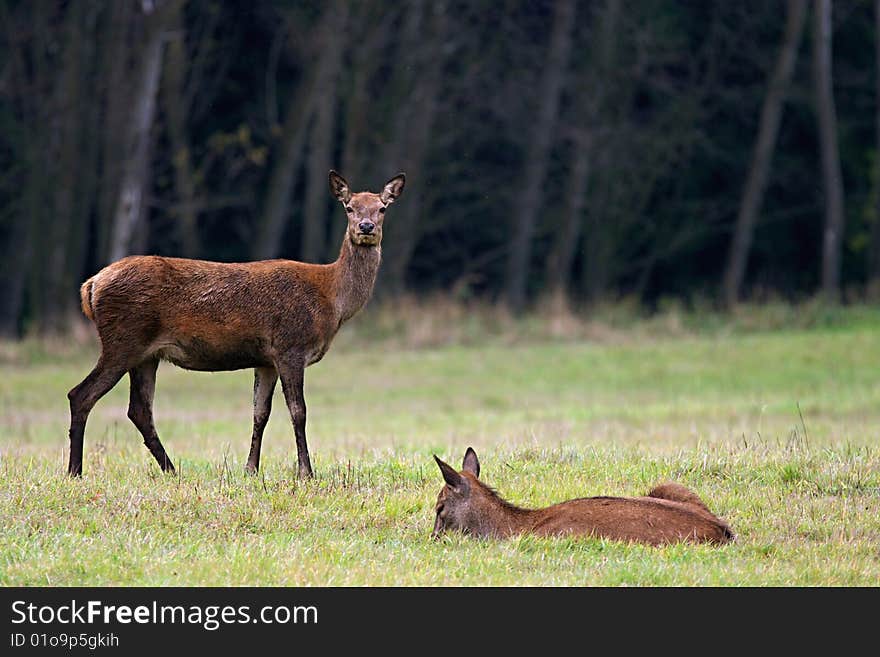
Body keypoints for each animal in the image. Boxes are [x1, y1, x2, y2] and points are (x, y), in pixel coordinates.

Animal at [68, 169, 406, 476]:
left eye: (382, 208)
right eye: (349, 207)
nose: (366, 227)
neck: (332, 300)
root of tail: (92, 285)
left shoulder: (266, 359)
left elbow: (260, 413)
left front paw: (251, 469)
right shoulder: (290, 347)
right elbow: (298, 411)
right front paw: (305, 472)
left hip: (146, 354)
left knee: (139, 410)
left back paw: (171, 470)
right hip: (123, 340)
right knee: (81, 395)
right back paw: (75, 470)